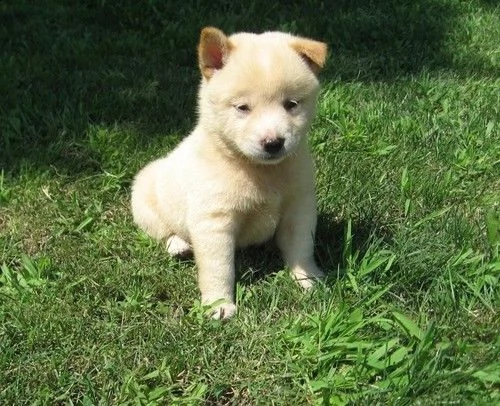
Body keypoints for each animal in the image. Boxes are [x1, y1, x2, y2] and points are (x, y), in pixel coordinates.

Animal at [132, 27, 328, 320]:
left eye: (291, 104)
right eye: (242, 108)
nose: (273, 143)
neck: (258, 171)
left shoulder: (299, 207)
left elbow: (301, 247)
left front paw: (308, 279)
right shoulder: (214, 221)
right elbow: (219, 268)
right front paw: (219, 304)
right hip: (144, 199)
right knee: (163, 230)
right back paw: (177, 245)